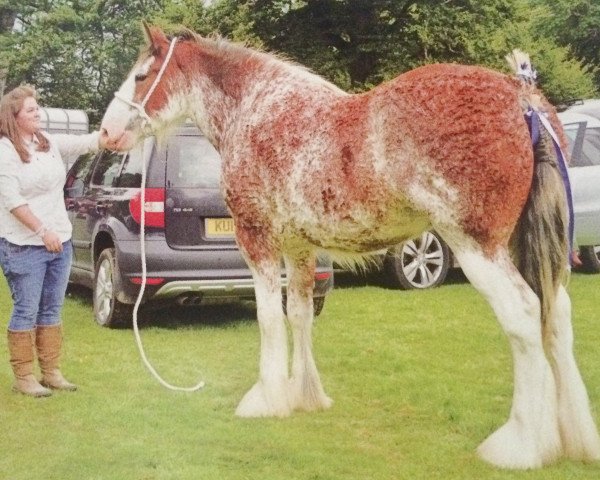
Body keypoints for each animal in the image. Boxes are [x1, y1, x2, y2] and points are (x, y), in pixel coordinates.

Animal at [101, 23, 596, 468]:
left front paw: (266, 399)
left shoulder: (258, 240)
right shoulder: (300, 249)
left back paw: (520, 447)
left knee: (524, 315)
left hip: (479, 248)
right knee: (558, 315)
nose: (106, 134)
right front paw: (305, 397)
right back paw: (572, 438)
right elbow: (299, 316)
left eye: (142, 75)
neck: (258, 110)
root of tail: (521, 96)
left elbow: (268, 319)